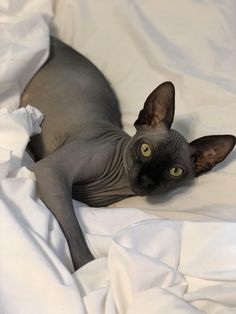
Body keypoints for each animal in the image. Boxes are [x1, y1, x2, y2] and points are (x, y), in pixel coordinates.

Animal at [20, 37, 236, 270]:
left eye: (175, 171)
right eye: (145, 149)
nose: (147, 180)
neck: (113, 183)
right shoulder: (51, 170)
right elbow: (72, 228)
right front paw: (87, 269)